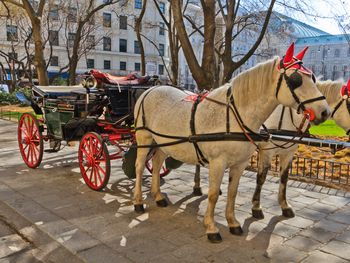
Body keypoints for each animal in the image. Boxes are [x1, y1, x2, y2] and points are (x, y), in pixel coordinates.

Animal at [133, 43, 330, 243]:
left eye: (313, 78)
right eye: (296, 79)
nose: (325, 112)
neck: (235, 115)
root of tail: (150, 90)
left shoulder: (241, 163)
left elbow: (233, 192)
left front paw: (233, 222)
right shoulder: (218, 162)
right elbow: (213, 194)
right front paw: (211, 227)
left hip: (163, 142)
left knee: (157, 164)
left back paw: (158, 196)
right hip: (144, 138)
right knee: (140, 167)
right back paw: (138, 202)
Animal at [252, 79, 350, 221]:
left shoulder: (288, 152)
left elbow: (284, 178)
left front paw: (284, 205)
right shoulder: (267, 150)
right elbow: (261, 178)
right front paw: (256, 207)